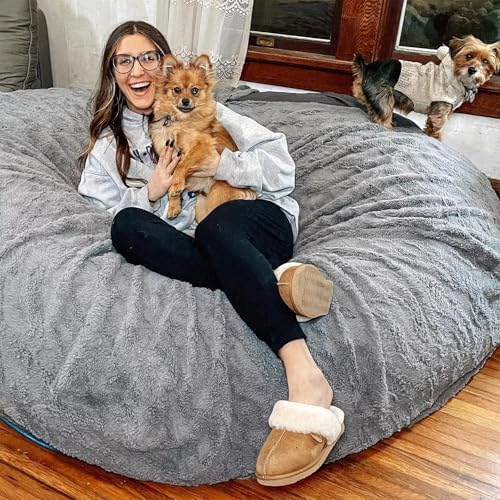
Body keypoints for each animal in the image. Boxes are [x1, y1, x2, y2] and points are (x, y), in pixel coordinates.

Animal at [149, 53, 255, 222]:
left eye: (194, 90)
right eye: (177, 90)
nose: (185, 101)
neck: (180, 121)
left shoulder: (202, 146)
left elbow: (182, 165)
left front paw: (177, 185)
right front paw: (174, 205)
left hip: (216, 198)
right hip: (201, 208)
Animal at [352, 35, 500, 140]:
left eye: (485, 61)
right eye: (468, 55)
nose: (472, 70)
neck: (456, 77)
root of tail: (367, 68)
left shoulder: (436, 110)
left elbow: (430, 124)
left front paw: (427, 132)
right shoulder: (441, 109)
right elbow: (438, 127)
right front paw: (436, 139)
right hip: (385, 98)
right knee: (382, 117)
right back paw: (389, 127)